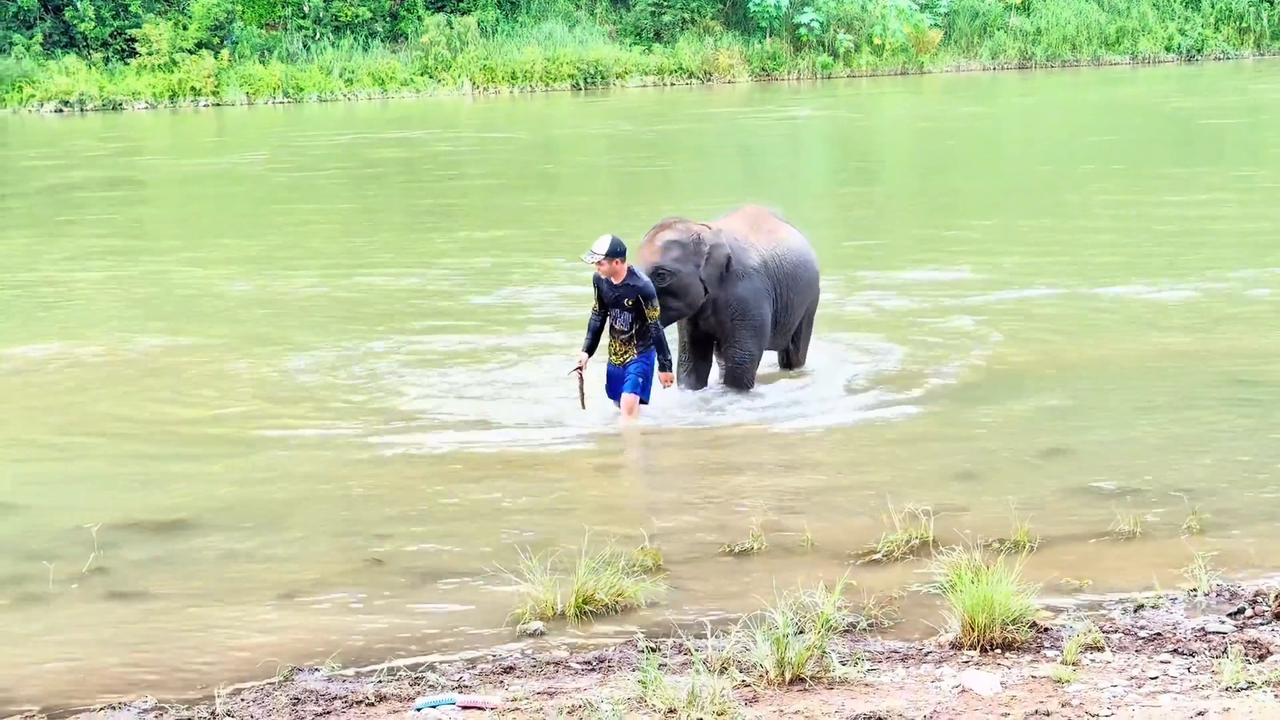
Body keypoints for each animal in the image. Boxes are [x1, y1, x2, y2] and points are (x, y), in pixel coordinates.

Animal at [637, 204, 820, 392]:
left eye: (661, 276)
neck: (705, 232)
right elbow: (691, 362)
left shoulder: (748, 293)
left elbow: (741, 362)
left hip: (809, 300)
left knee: (794, 353)